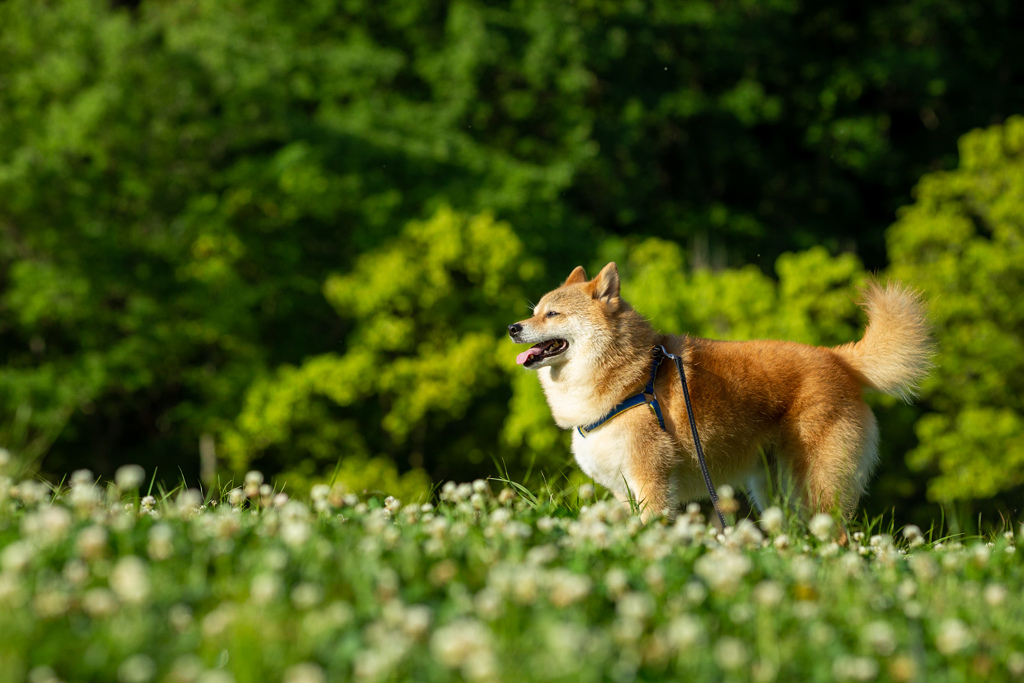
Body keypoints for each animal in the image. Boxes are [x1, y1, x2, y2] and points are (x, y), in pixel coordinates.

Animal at [507, 264, 933, 528]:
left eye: (552, 314)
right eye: (536, 310)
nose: (513, 328)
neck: (633, 378)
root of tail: (837, 358)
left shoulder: (651, 483)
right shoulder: (622, 488)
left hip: (816, 485)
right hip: (774, 491)